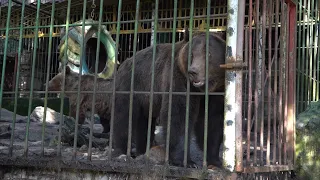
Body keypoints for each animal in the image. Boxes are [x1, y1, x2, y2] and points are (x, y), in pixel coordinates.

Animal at [111, 27, 226, 168]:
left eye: (208, 54)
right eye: (191, 55)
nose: (193, 72)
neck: (202, 89)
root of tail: (124, 62)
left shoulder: (217, 91)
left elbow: (212, 119)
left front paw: (214, 160)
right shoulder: (178, 78)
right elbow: (179, 115)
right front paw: (186, 161)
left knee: (144, 123)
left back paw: (142, 150)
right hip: (130, 85)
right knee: (124, 117)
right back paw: (121, 152)